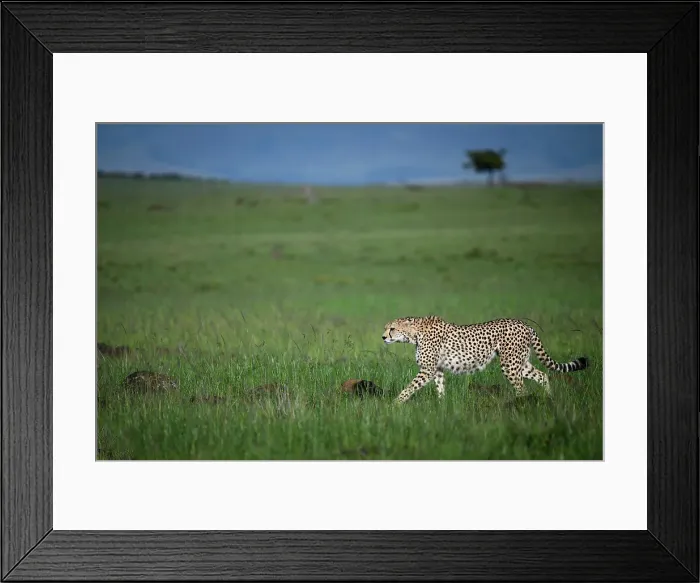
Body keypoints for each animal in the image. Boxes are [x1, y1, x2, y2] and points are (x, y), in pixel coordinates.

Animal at [382, 315, 588, 403]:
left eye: (392, 328)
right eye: (386, 328)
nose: (383, 337)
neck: (414, 333)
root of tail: (524, 324)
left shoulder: (427, 370)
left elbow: (409, 387)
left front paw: (395, 403)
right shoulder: (437, 369)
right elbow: (440, 390)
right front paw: (442, 408)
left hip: (509, 364)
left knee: (522, 388)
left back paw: (520, 407)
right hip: (520, 363)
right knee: (542, 375)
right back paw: (549, 400)